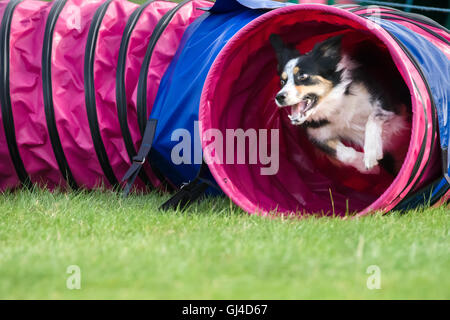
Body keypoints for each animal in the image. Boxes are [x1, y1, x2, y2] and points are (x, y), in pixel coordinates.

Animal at [268, 34, 410, 175]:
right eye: (282, 81)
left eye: (303, 76)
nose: (279, 97)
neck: (333, 104)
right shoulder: (317, 135)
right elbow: (343, 155)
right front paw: (368, 167)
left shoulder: (386, 103)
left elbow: (372, 119)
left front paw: (371, 153)